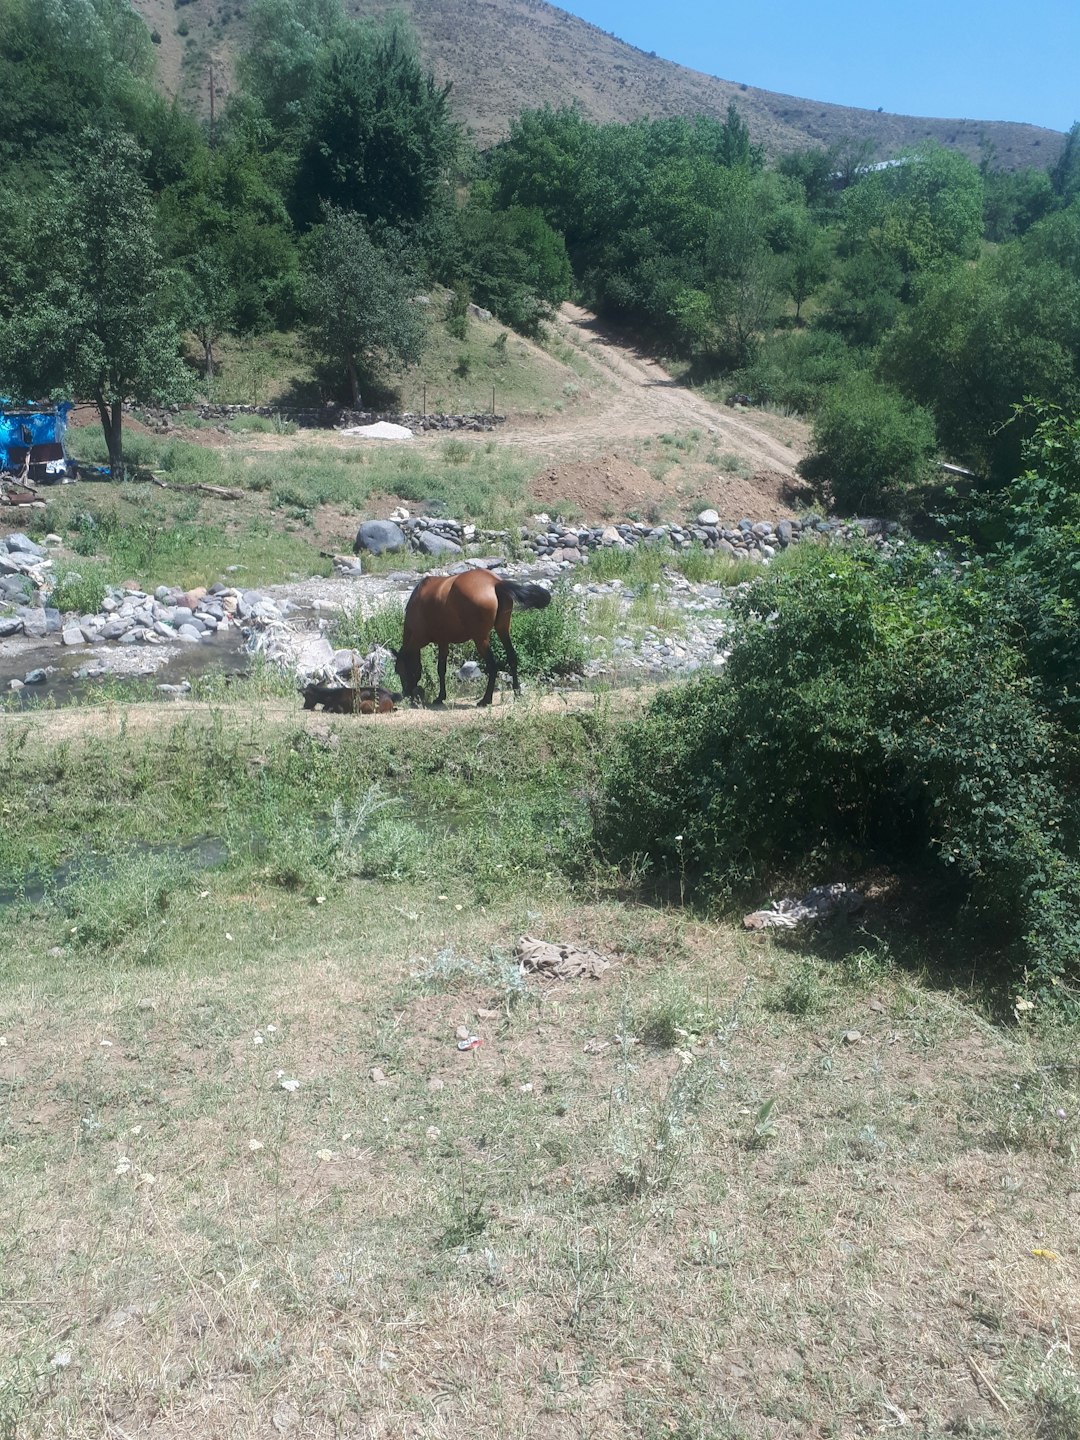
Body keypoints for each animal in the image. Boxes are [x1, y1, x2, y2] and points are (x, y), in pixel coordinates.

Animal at [394, 573, 552, 708]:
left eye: (400, 671)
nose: (405, 694)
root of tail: (494, 582)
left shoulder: (432, 640)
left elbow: (440, 669)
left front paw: (440, 697)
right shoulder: (444, 642)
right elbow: (442, 669)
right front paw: (441, 696)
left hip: (480, 639)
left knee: (492, 666)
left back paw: (485, 699)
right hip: (502, 629)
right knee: (512, 657)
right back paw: (517, 692)